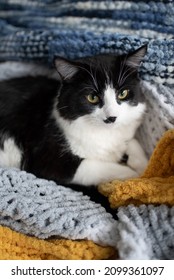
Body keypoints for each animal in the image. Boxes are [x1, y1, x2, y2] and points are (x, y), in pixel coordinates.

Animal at [0, 44, 147, 187]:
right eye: (92, 97)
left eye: (123, 93)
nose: (111, 118)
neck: (105, 133)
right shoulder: (49, 161)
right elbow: (102, 168)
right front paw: (137, 176)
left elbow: (133, 142)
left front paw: (142, 164)